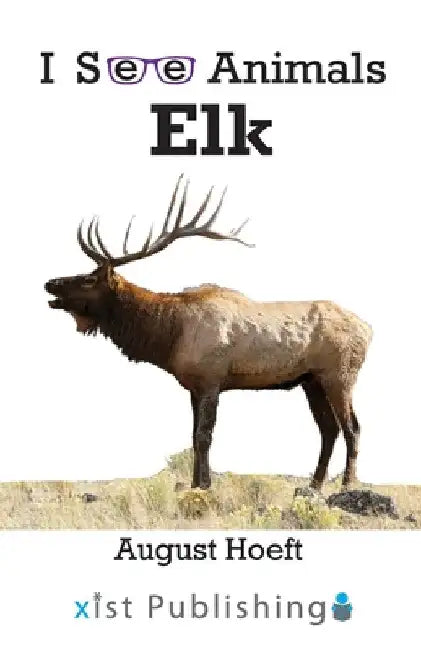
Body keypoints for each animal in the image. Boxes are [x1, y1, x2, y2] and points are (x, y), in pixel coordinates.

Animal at [45, 174, 372, 491]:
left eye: (88, 279)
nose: (50, 283)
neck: (169, 337)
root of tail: (368, 329)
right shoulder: (193, 385)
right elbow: (193, 436)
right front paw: (195, 483)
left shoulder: (212, 378)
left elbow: (204, 436)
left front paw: (204, 485)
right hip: (311, 380)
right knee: (328, 428)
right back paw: (314, 484)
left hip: (340, 374)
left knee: (352, 426)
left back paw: (347, 483)